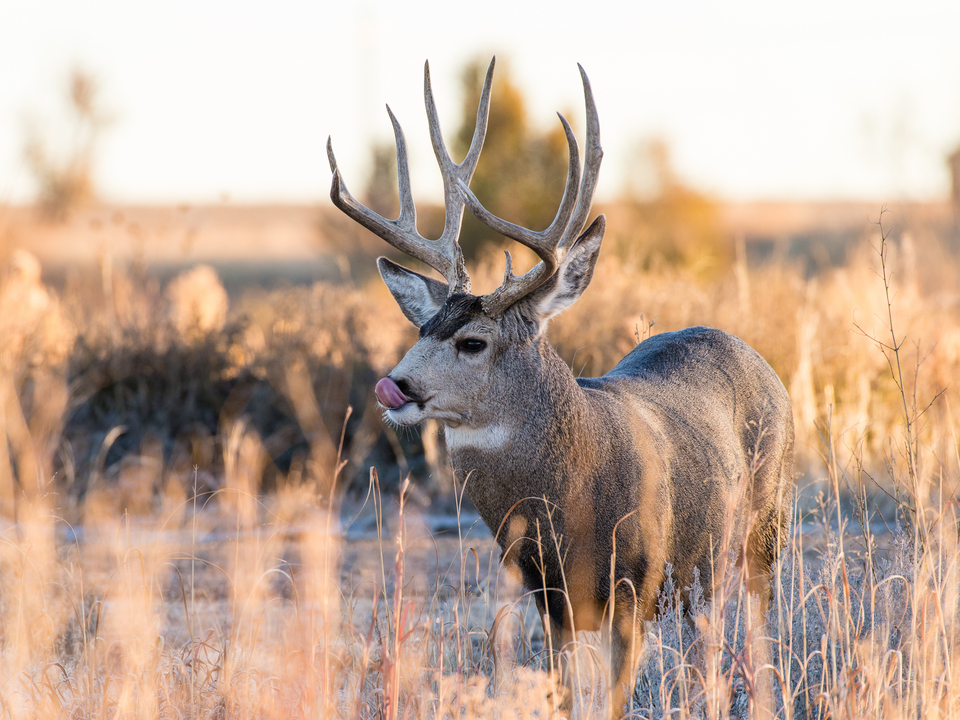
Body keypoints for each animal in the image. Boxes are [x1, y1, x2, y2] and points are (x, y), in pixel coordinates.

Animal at [327, 58, 795, 718]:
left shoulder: (635, 586)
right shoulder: (548, 599)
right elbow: (565, 696)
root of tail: (756, 356)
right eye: (422, 327)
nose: (394, 386)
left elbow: (617, 700)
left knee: (756, 640)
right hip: (700, 576)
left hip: (762, 530)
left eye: (473, 341)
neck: (569, 499)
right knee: (709, 653)